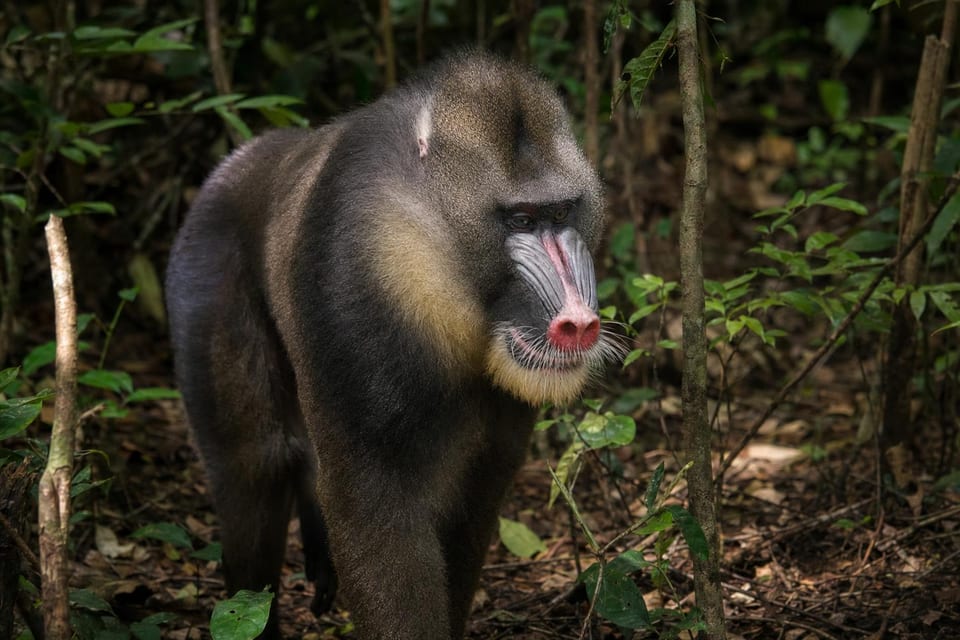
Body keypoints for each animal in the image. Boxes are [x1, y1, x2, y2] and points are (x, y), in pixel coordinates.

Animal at [165, 51, 617, 639]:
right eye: (520, 220)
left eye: (560, 215)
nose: (578, 322)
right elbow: (374, 515)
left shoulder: (492, 455)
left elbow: (468, 517)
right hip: (208, 288)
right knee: (253, 466)